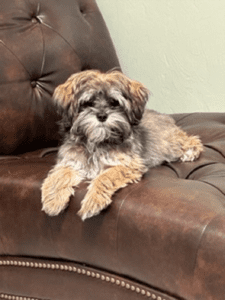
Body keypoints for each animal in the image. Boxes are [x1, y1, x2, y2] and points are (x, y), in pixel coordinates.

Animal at [40, 69, 204, 220]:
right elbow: (59, 176)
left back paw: (191, 152)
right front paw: (53, 201)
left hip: (169, 144)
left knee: (191, 140)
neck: (98, 142)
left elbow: (105, 177)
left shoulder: (128, 164)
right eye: (88, 102)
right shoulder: (71, 161)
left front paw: (93, 201)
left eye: (114, 102)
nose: (102, 116)